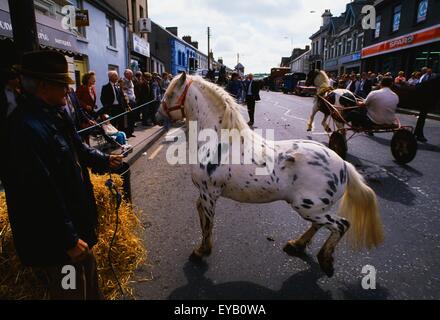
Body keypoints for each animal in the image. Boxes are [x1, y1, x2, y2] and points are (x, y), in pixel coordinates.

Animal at [156, 71, 384, 276]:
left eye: (169, 94)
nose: (158, 117)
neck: (217, 140)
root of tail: (344, 164)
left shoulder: (209, 193)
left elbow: (207, 223)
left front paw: (201, 251)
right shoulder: (204, 195)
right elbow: (201, 216)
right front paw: (203, 247)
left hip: (308, 207)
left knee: (341, 225)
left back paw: (325, 261)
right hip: (315, 207)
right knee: (319, 225)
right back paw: (296, 245)